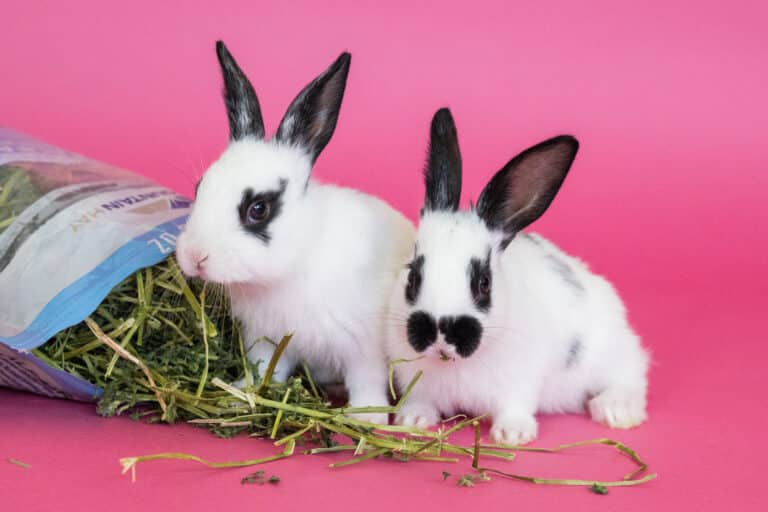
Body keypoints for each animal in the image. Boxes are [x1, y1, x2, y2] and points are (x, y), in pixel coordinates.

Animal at [176, 42, 414, 422]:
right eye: (200, 187)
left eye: (259, 208)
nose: (194, 256)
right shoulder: (266, 340)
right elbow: (263, 370)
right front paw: (241, 395)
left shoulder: (364, 346)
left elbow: (367, 380)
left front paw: (366, 417)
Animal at [384, 108, 648, 444]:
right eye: (414, 276)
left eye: (483, 283)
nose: (441, 330)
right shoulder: (416, 381)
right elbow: (421, 401)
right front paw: (413, 420)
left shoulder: (520, 380)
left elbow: (515, 405)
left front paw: (512, 434)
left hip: (609, 352)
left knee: (631, 374)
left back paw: (616, 411)